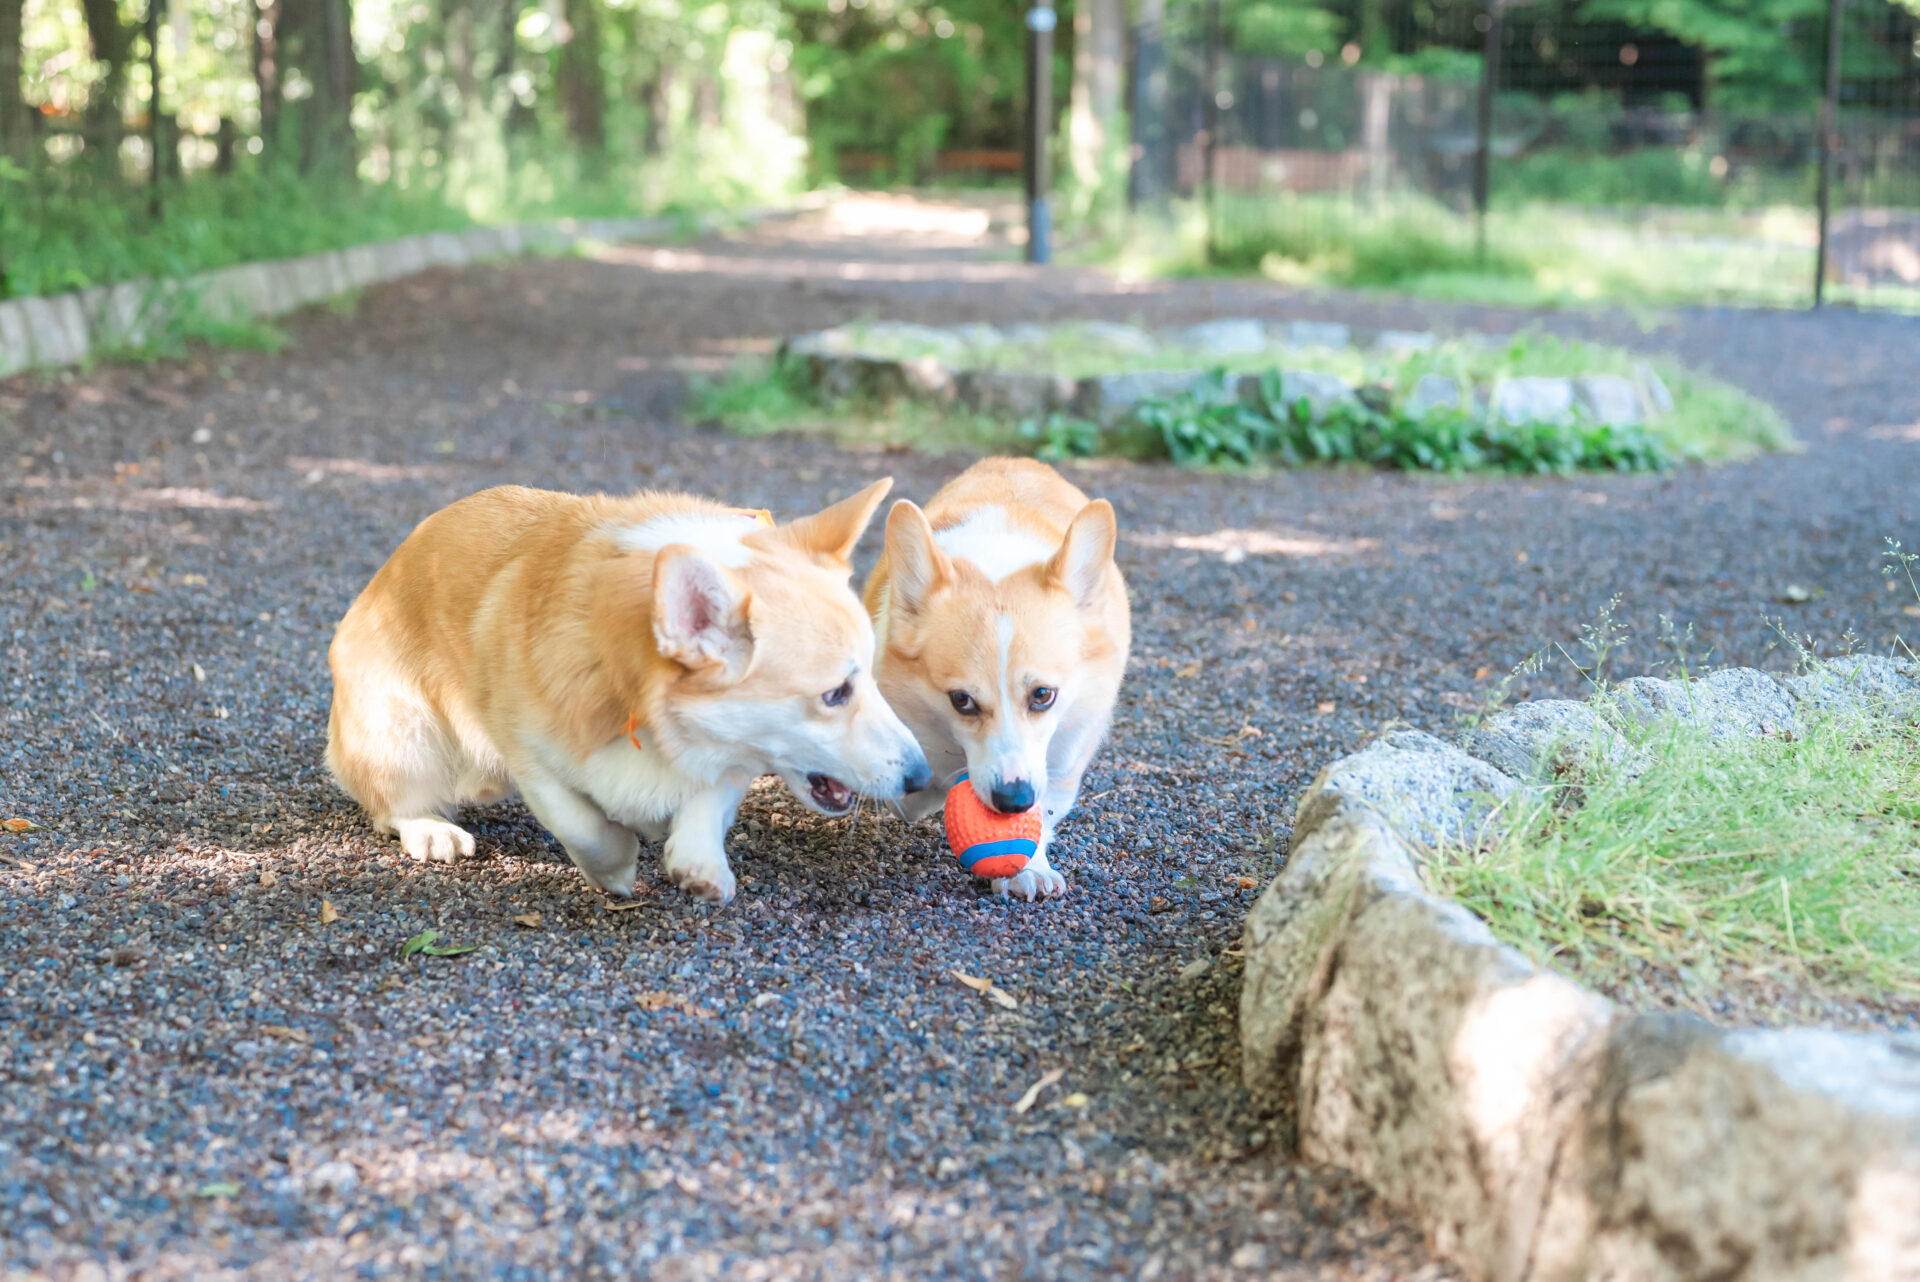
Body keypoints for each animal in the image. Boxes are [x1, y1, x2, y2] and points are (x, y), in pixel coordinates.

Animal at [326, 479, 925, 902]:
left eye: (869, 680)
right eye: (835, 694)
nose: (921, 777)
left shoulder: (730, 755)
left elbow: (708, 801)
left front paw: (699, 864)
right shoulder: (531, 756)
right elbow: (584, 825)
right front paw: (616, 868)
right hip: (405, 732)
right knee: (391, 804)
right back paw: (431, 828)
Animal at [867, 460, 1121, 902]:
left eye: (1043, 695)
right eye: (961, 700)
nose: (1013, 800)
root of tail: (1014, 460)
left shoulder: (1063, 755)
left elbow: (1045, 810)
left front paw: (1030, 869)